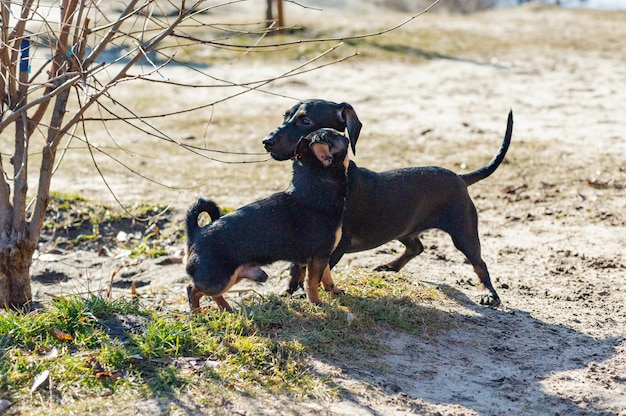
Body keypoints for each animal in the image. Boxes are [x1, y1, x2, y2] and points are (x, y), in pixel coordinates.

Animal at [185, 128, 352, 310]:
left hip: (231, 276)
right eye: (336, 136)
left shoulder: (323, 256)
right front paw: (316, 303)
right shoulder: (318, 256)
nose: (345, 135)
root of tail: (196, 232)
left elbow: (326, 276)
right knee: (192, 289)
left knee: (211, 294)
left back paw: (226, 310)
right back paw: (197, 312)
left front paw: (333, 291)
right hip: (218, 279)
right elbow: (312, 281)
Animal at [260, 98, 510, 306]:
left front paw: (307, 293)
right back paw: (389, 267)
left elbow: (318, 272)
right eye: (285, 116)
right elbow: (295, 268)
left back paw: (489, 293)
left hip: (463, 230)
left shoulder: (336, 244)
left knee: (479, 263)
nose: (266, 141)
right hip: (404, 227)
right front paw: (287, 291)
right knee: (416, 246)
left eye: (306, 120)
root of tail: (460, 177)